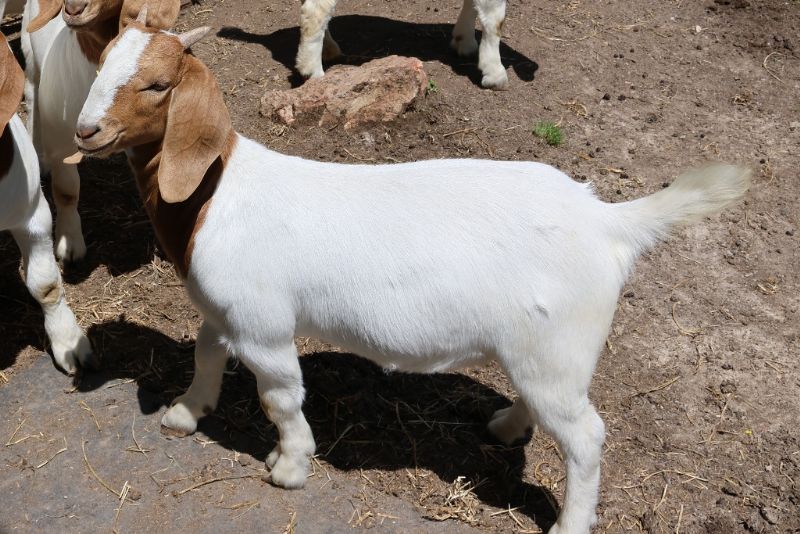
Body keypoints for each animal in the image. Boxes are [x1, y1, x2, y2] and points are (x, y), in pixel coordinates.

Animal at [20, 0, 179, 261]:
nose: (73, 10)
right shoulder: (64, 142)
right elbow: (66, 191)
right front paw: (69, 244)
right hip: (30, 52)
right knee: (32, 93)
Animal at [74, 20, 750, 533]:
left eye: (158, 85)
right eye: (99, 66)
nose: (86, 131)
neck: (212, 196)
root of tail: (607, 220)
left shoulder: (263, 327)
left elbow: (281, 398)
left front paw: (289, 468)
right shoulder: (225, 310)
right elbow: (207, 353)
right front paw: (186, 413)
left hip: (559, 346)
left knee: (585, 436)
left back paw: (569, 523)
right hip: (541, 351)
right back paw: (507, 425)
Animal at [296, 0, 510, 89]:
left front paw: (464, 41)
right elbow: (495, 18)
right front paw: (495, 74)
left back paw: (328, 49)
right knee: (315, 9)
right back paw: (313, 72)